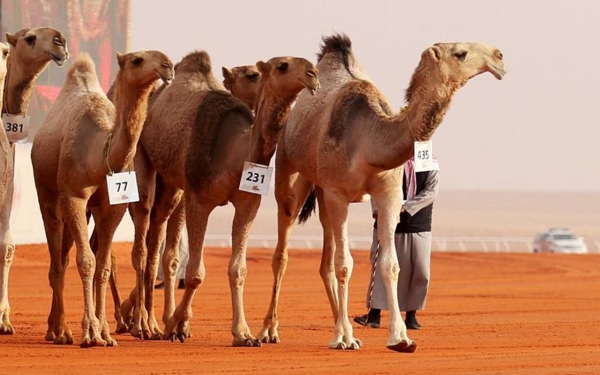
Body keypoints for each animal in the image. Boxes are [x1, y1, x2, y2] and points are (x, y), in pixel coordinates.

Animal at [31, 51, 173, 348]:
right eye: (137, 60)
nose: (167, 65)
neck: (97, 156)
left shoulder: (112, 206)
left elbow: (104, 266)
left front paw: (105, 332)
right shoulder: (73, 196)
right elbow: (86, 261)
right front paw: (89, 332)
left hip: (85, 210)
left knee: (65, 258)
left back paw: (59, 328)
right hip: (46, 192)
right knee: (57, 261)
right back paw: (60, 331)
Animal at [126, 50, 318, 346]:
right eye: (283, 66)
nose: (313, 74)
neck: (233, 154)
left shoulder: (247, 203)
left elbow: (238, 269)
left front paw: (243, 333)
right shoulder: (200, 199)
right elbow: (195, 273)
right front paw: (178, 324)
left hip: (174, 185)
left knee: (162, 242)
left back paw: (154, 323)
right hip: (144, 161)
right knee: (144, 238)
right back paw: (143, 325)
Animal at [258, 34, 506, 352]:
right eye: (460, 53)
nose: (499, 57)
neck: (368, 140)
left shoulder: (389, 194)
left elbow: (390, 264)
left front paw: (400, 338)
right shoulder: (338, 193)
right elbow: (345, 264)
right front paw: (345, 338)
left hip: (323, 193)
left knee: (325, 260)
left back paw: (341, 326)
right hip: (291, 171)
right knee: (283, 251)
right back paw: (270, 331)